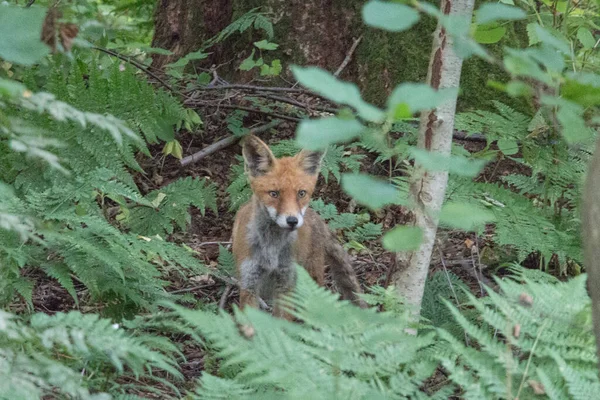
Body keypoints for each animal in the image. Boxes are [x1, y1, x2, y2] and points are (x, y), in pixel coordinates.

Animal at [232, 134, 366, 318]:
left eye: (301, 193)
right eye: (274, 194)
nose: (292, 221)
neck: (271, 248)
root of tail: (316, 217)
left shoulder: (286, 284)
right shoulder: (249, 285)